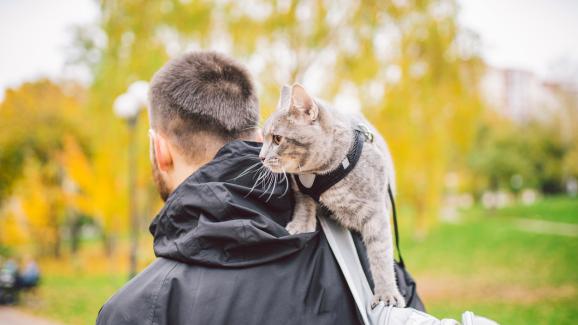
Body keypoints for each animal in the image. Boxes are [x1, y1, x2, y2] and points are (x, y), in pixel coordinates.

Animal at [258, 83, 402, 306]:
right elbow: (305, 202)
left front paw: (386, 292)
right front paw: (301, 224)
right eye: (263, 138)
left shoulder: (376, 213)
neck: (317, 174)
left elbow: (381, 255)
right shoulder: (301, 188)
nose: (261, 156)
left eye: (277, 138)